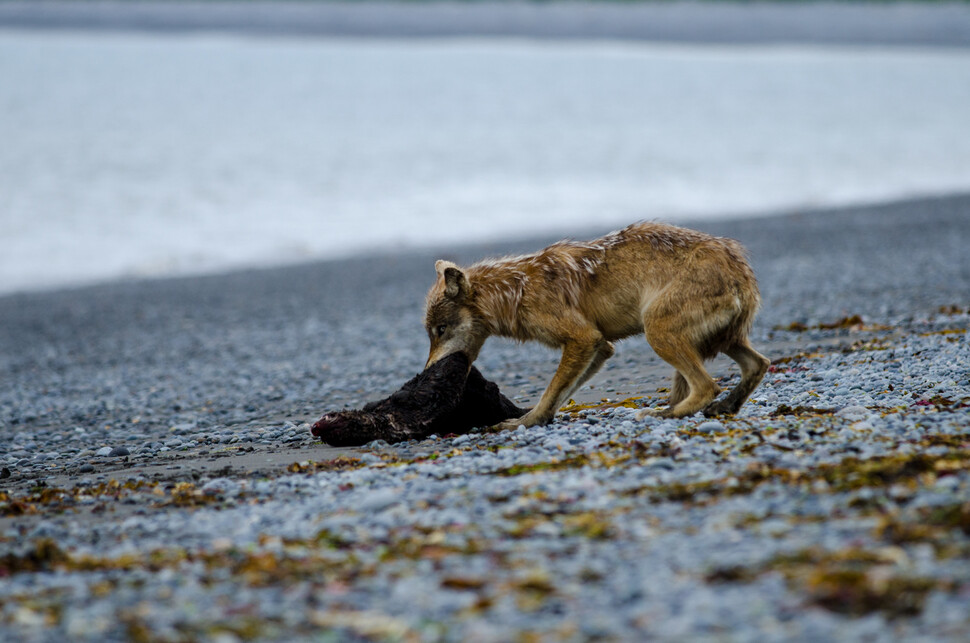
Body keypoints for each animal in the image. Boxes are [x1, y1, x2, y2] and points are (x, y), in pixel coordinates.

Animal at [424, 224, 772, 430]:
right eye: (431, 333)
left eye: (440, 330)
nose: (427, 371)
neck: (516, 290)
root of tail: (740, 269)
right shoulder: (601, 347)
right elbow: (561, 394)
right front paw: (537, 419)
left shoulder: (583, 339)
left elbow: (550, 392)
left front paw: (526, 421)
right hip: (720, 341)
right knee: (759, 364)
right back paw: (722, 407)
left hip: (658, 333)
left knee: (707, 387)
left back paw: (662, 414)